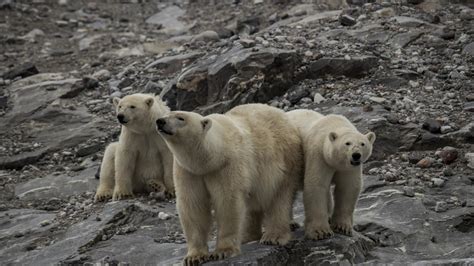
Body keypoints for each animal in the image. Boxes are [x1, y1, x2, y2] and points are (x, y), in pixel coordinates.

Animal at [157, 103, 302, 264]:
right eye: (167, 114)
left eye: (180, 118)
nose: (160, 121)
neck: (211, 158)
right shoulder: (188, 171)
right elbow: (193, 205)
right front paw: (194, 257)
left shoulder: (227, 165)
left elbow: (227, 202)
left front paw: (223, 251)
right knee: (252, 205)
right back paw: (247, 237)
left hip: (284, 161)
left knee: (279, 197)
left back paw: (273, 236)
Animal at [286, 109, 376, 240]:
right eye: (347, 143)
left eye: (362, 144)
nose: (356, 155)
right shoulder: (318, 155)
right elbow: (316, 185)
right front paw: (321, 232)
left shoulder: (349, 168)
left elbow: (348, 188)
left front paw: (342, 227)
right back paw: (290, 223)